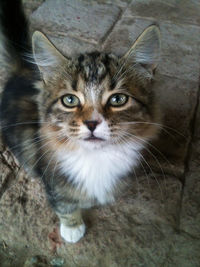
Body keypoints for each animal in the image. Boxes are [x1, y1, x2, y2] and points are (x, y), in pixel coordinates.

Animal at [0, 0, 161, 244]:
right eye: (70, 100)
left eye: (118, 99)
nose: (92, 123)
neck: (96, 158)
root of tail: (24, 69)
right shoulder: (53, 180)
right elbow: (64, 204)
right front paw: (72, 227)